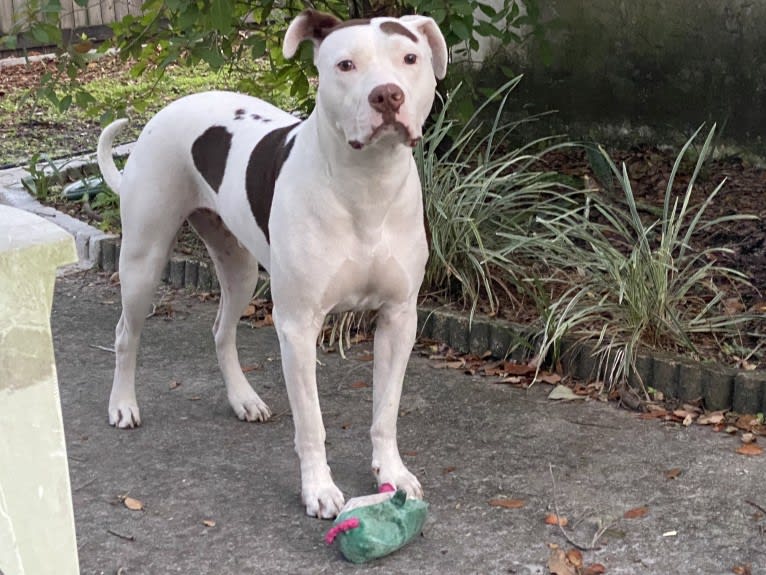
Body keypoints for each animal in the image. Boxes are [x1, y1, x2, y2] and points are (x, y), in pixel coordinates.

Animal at [99, 9, 452, 520]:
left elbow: (385, 411)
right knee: (127, 334)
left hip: (241, 269)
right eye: (345, 64)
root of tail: (175, 105)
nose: (387, 95)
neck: (366, 185)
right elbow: (311, 424)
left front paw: (391, 473)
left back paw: (243, 400)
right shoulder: (298, 327)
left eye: (409, 58)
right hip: (143, 260)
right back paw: (123, 405)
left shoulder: (398, 318)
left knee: (221, 331)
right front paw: (318, 489)